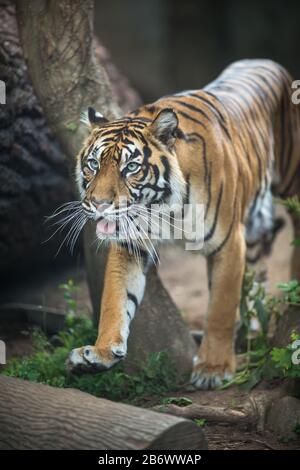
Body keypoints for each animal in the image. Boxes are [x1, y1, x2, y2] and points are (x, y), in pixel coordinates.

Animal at [67, 58, 300, 390]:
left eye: (131, 167)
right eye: (93, 164)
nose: (99, 204)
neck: (162, 208)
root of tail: (265, 61)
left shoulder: (229, 243)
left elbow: (220, 308)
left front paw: (213, 368)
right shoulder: (129, 243)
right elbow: (115, 299)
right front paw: (99, 354)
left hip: (292, 182)